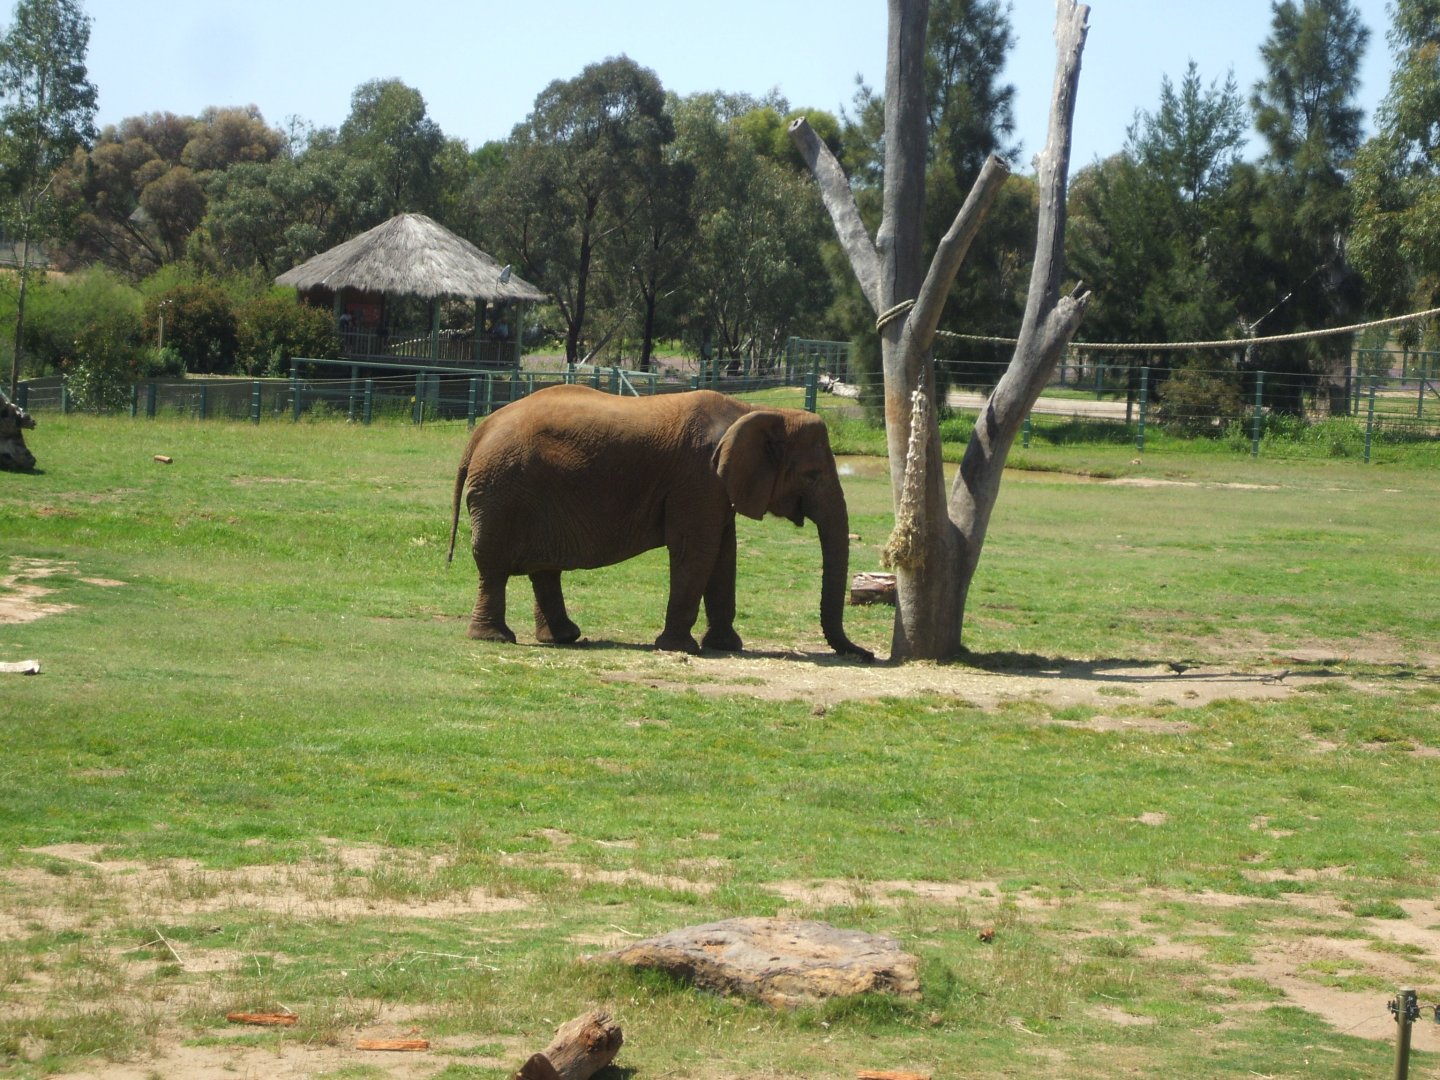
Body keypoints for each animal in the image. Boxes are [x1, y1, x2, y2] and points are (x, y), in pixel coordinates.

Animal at [447, 384, 872, 660]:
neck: (752, 411)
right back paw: (496, 639)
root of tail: (481, 430)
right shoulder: (698, 477)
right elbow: (698, 550)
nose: (865, 654)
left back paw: (564, 637)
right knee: (494, 567)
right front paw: (681, 649)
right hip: (502, 491)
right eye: (812, 476)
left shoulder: (715, 487)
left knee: (544, 569)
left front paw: (725, 646)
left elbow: (724, 553)